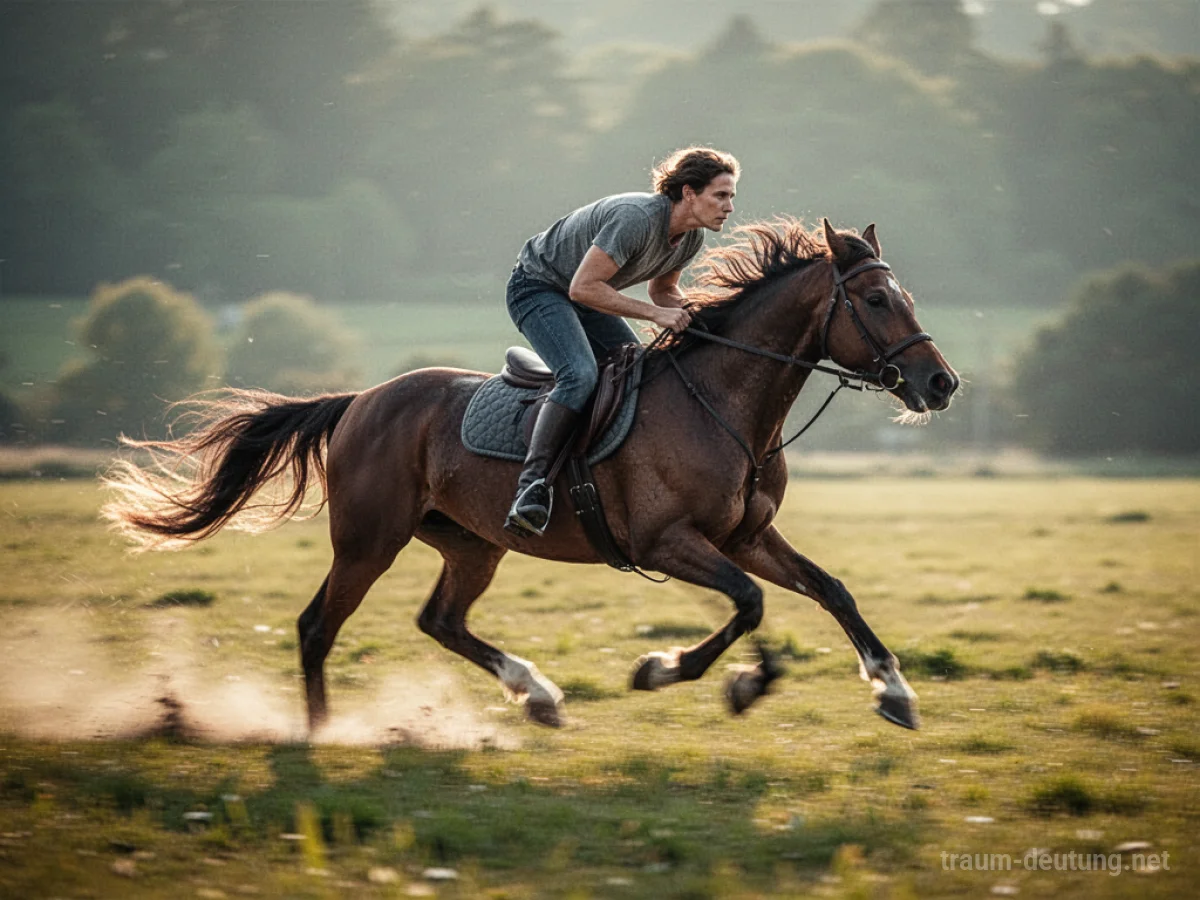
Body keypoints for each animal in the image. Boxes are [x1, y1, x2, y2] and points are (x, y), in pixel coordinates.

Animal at [104, 218, 959, 733]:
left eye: (906, 295)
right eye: (876, 298)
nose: (941, 383)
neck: (723, 403)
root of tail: (359, 401)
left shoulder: (746, 537)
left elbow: (828, 591)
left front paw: (892, 690)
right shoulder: (668, 542)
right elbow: (748, 605)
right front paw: (672, 671)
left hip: (471, 544)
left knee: (440, 621)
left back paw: (537, 694)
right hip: (368, 540)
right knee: (319, 626)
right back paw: (321, 735)